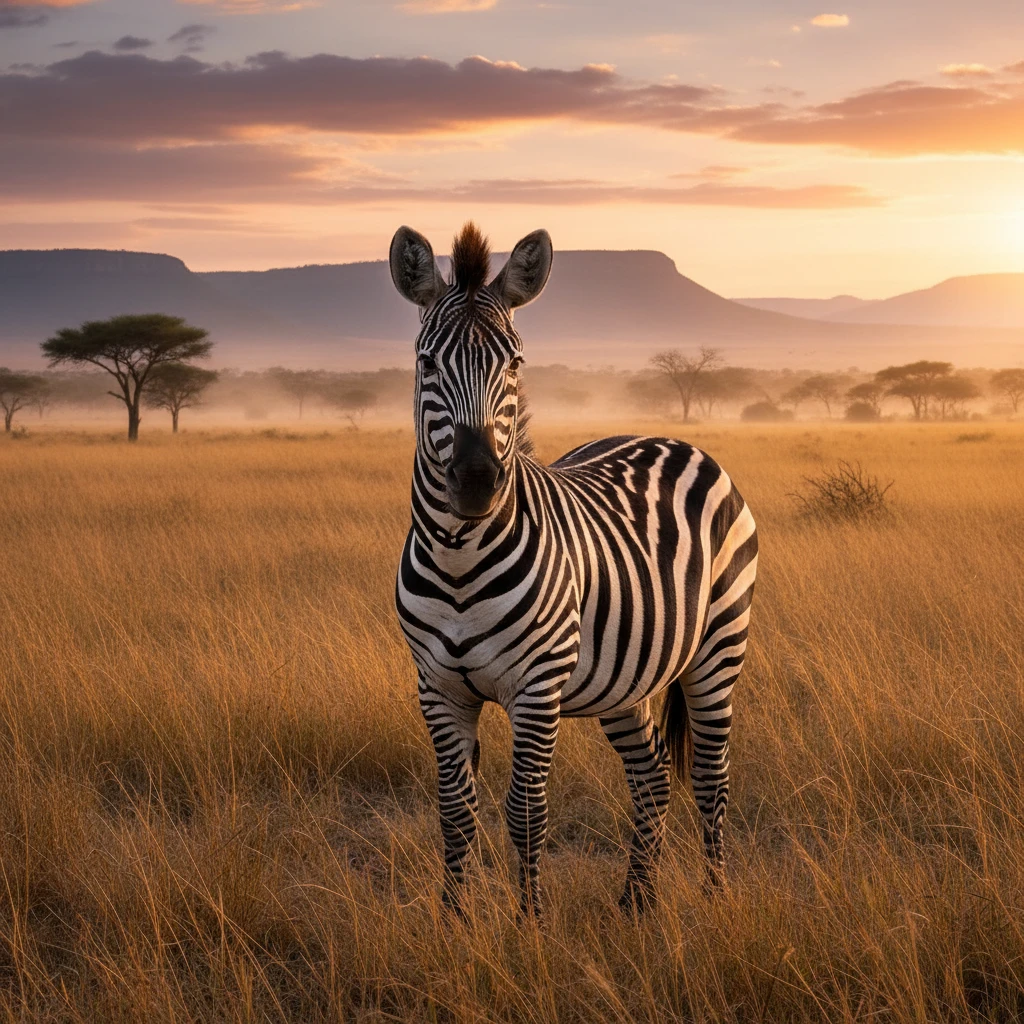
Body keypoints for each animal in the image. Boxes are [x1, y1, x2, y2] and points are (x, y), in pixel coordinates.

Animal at [390, 222, 758, 915]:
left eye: (514, 363)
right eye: (426, 363)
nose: (476, 482)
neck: (458, 559)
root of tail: (671, 437)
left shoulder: (537, 687)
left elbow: (525, 812)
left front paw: (530, 924)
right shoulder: (437, 686)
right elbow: (455, 812)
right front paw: (454, 922)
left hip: (719, 645)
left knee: (710, 778)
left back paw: (718, 897)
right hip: (626, 678)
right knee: (651, 776)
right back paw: (636, 902)